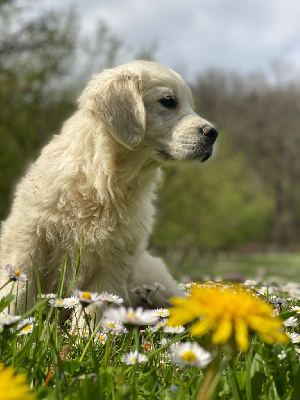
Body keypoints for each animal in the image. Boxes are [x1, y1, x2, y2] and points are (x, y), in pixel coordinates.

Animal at [0, 61, 216, 314]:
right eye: (168, 101)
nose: (213, 133)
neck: (103, 182)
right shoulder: (28, 240)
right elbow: (17, 294)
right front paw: (11, 320)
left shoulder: (112, 261)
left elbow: (94, 310)